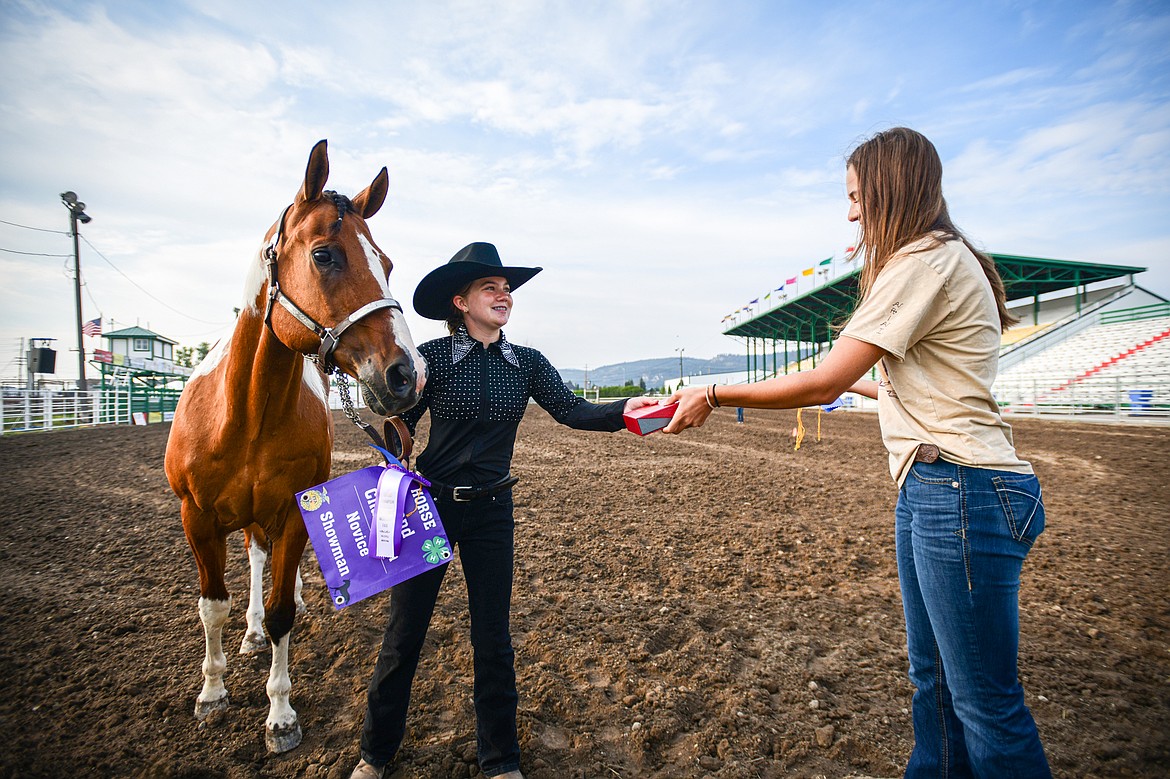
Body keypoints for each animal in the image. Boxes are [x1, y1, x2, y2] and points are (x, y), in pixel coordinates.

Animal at [162, 140, 423, 753]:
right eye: (325, 255)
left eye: (387, 264)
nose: (407, 374)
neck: (244, 415)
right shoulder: (196, 519)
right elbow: (212, 608)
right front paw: (212, 694)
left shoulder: (290, 515)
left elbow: (283, 612)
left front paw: (279, 715)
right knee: (253, 563)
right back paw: (250, 634)